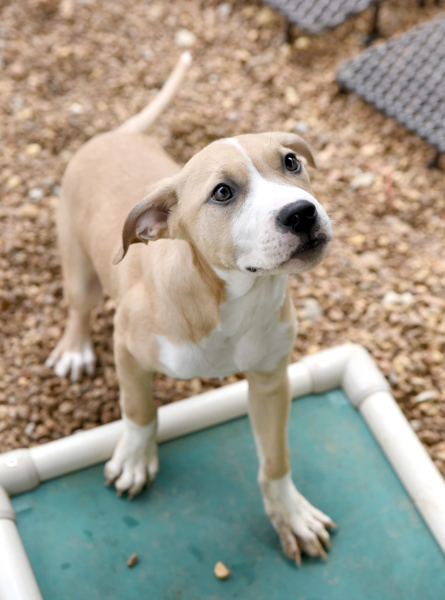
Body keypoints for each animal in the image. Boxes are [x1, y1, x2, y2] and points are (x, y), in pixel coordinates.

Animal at [47, 54, 332, 564]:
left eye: (291, 162)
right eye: (222, 192)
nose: (301, 213)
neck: (234, 298)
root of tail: (112, 134)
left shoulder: (271, 380)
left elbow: (275, 458)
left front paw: (291, 515)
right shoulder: (127, 347)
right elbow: (138, 408)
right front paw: (136, 459)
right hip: (80, 269)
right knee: (79, 307)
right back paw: (75, 350)